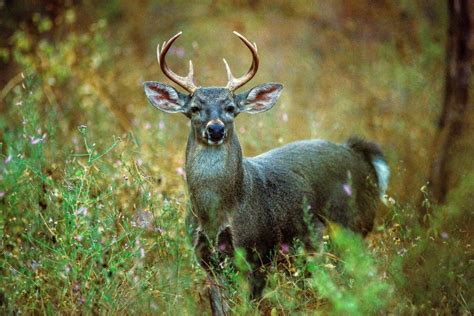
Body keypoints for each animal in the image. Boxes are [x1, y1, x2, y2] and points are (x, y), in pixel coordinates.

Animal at [143, 32, 388, 306]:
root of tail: (359, 155)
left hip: (352, 228)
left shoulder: (258, 253)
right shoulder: (206, 259)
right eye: (194, 108)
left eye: (231, 108)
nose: (215, 129)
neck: (219, 212)